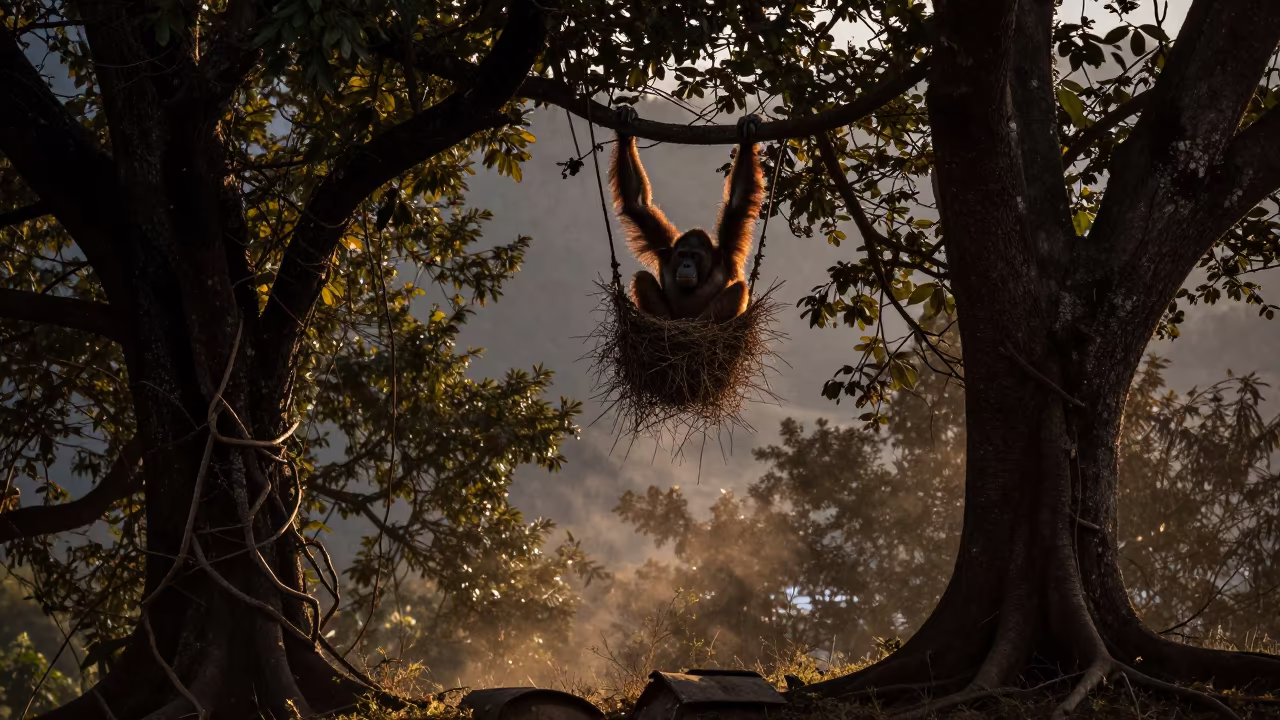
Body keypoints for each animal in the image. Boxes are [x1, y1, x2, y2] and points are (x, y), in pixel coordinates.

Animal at [608, 107, 764, 323]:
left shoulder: (727, 251)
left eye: (694, 256)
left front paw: (748, 138)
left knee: (739, 289)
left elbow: (738, 201)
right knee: (642, 278)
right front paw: (624, 130)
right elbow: (636, 202)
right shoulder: (664, 249)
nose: (687, 264)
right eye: (682, 255)